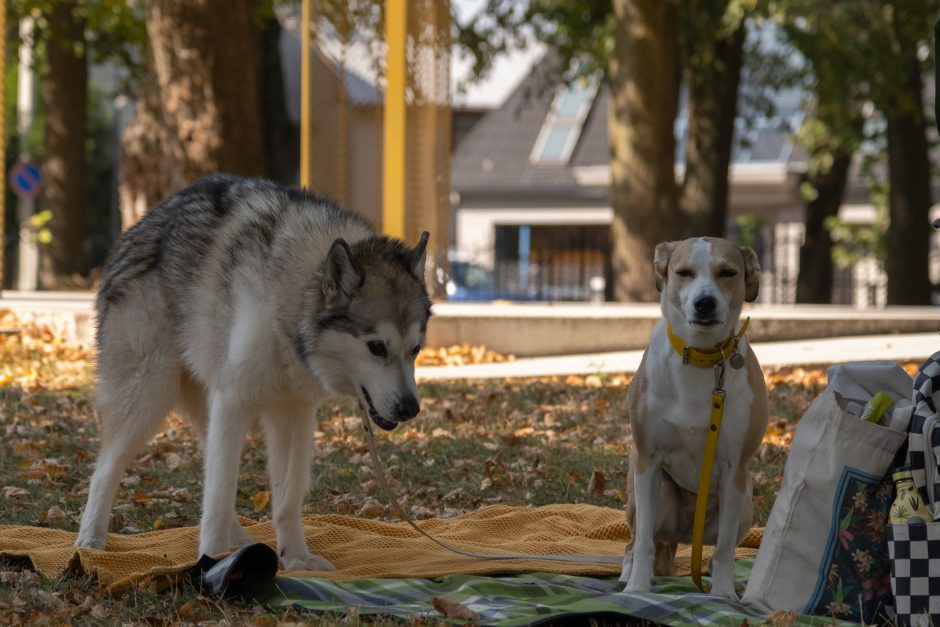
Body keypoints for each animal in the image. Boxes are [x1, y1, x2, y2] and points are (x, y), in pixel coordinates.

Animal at [77, 174, 430, 572]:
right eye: (377, 347)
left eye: (415, 349)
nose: (410, 408)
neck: (287, 302)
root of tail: (135, 228)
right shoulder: (234, 404)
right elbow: (218, 498)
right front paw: (210, 562)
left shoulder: (294, 414)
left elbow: (287, 499)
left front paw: (295, 560)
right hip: (149, 400)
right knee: (106, 469)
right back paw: (90, 542)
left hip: (202, 411)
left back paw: (242, 544)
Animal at [620, 238, 768, 600]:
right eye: (683, 272)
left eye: (727, 272)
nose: (704, 303)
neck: (702, 359)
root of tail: (685, 534)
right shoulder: (648, 462)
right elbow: (643, 542)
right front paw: (637, 588)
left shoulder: (734, 470)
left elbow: (726, 549)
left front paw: (724, 596)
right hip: (649, 497)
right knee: (637, 540)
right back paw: (629, 574)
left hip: (745, 504)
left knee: (716, 553)